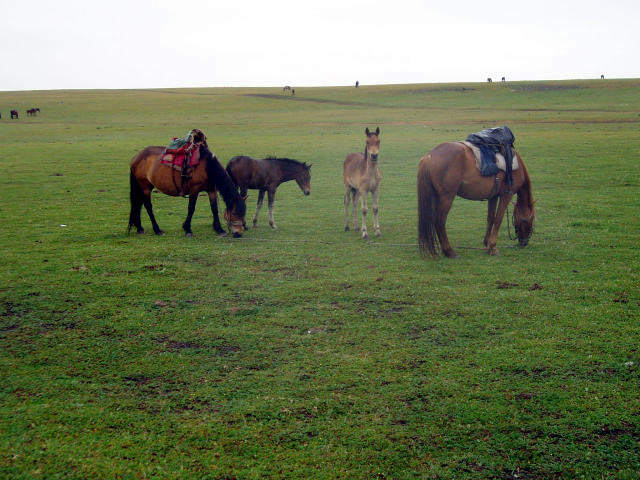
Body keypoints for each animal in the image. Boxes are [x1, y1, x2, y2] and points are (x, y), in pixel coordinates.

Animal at [418, 125, 536, 256]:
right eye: (530, 220)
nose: (524, 243)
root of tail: (429, 157)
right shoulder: (506, 195)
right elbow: (498, 219)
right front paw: (493, 247)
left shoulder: (493, 196)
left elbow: (491, 218)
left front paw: (487, 244)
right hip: (447, 197)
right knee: (440, 221)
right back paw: (449, 251)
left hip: (435, 196)